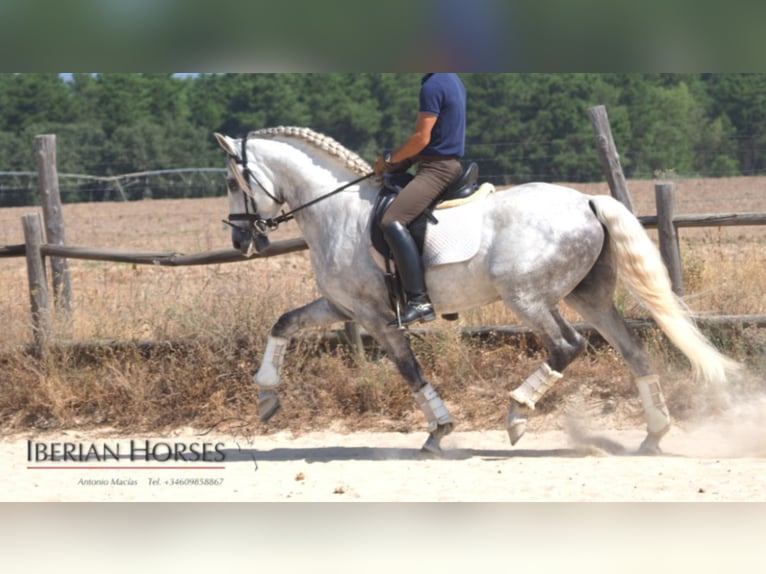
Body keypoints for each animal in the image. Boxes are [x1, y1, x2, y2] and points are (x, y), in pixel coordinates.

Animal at [213, 128, 740, 456]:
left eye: (231, 181)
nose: (241, 241)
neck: (336, 211)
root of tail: (588, 201)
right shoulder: (343, 306)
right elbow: (284, 322)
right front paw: (266, 396)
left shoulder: (378, 318)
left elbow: (410, 371)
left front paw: (439, 432)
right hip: (587, 296)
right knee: (633, 351)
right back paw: (654, 435)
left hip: (527, 298)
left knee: (567, 345)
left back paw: (517, 414)